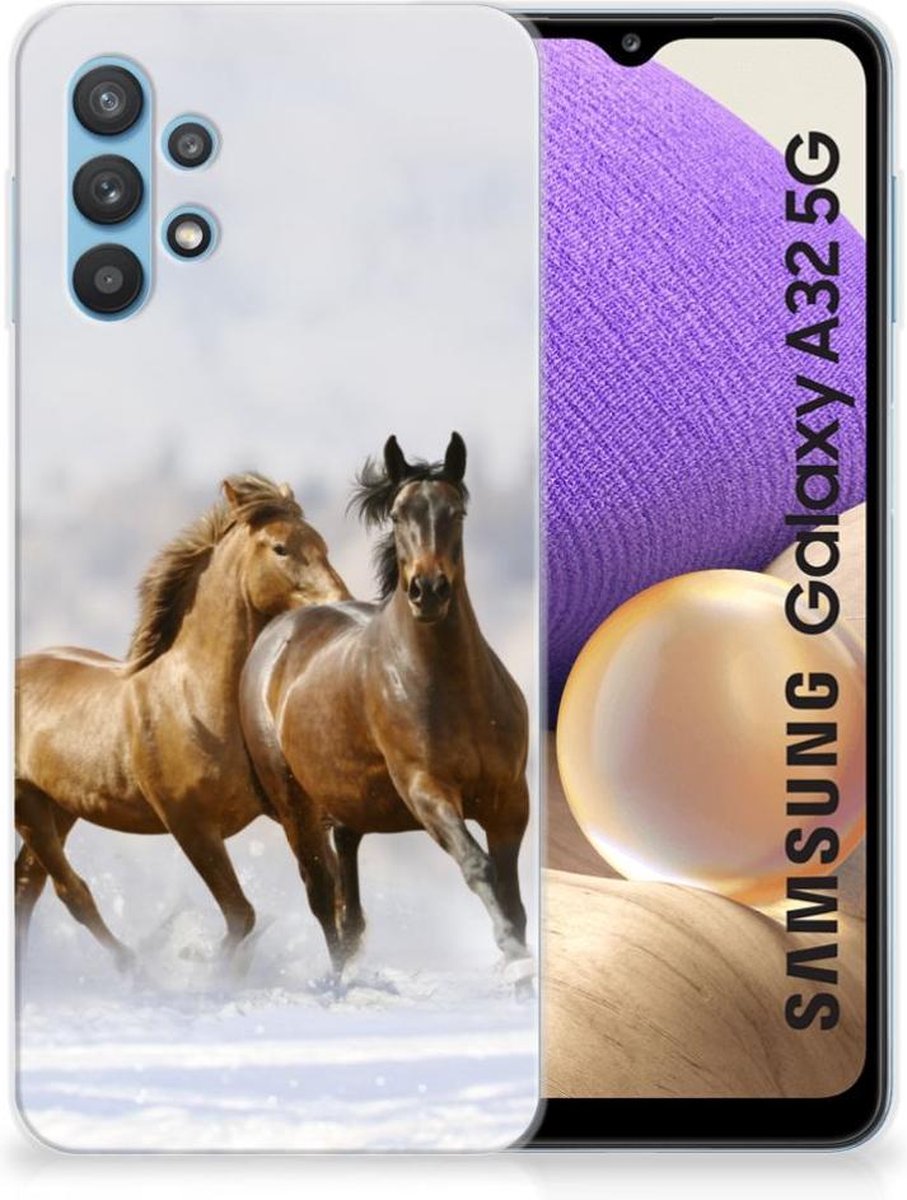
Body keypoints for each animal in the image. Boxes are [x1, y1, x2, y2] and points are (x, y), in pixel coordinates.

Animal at [15, 473, 350, 969]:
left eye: (322, 543)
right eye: (280, 548)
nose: (341, 603)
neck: (197, 701)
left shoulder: (292, 810)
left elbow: (325, 891)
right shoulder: (190, 826)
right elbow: (241, 915)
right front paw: (208, 969)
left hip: (59, 806)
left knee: (27, 884)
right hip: (29, 806)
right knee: (68, 891)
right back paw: (135, 967)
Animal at [239, 433, 531, 976]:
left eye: (457, 511)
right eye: (397, 514)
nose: (428, 590)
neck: (454, 691)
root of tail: (275, 636)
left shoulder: (509, 800)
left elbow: (512, 894)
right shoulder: (426, 791)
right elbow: (477, 866)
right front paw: (510, 953)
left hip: (347, 808)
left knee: (348, 906)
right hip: (296, 808)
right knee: (322, 897)